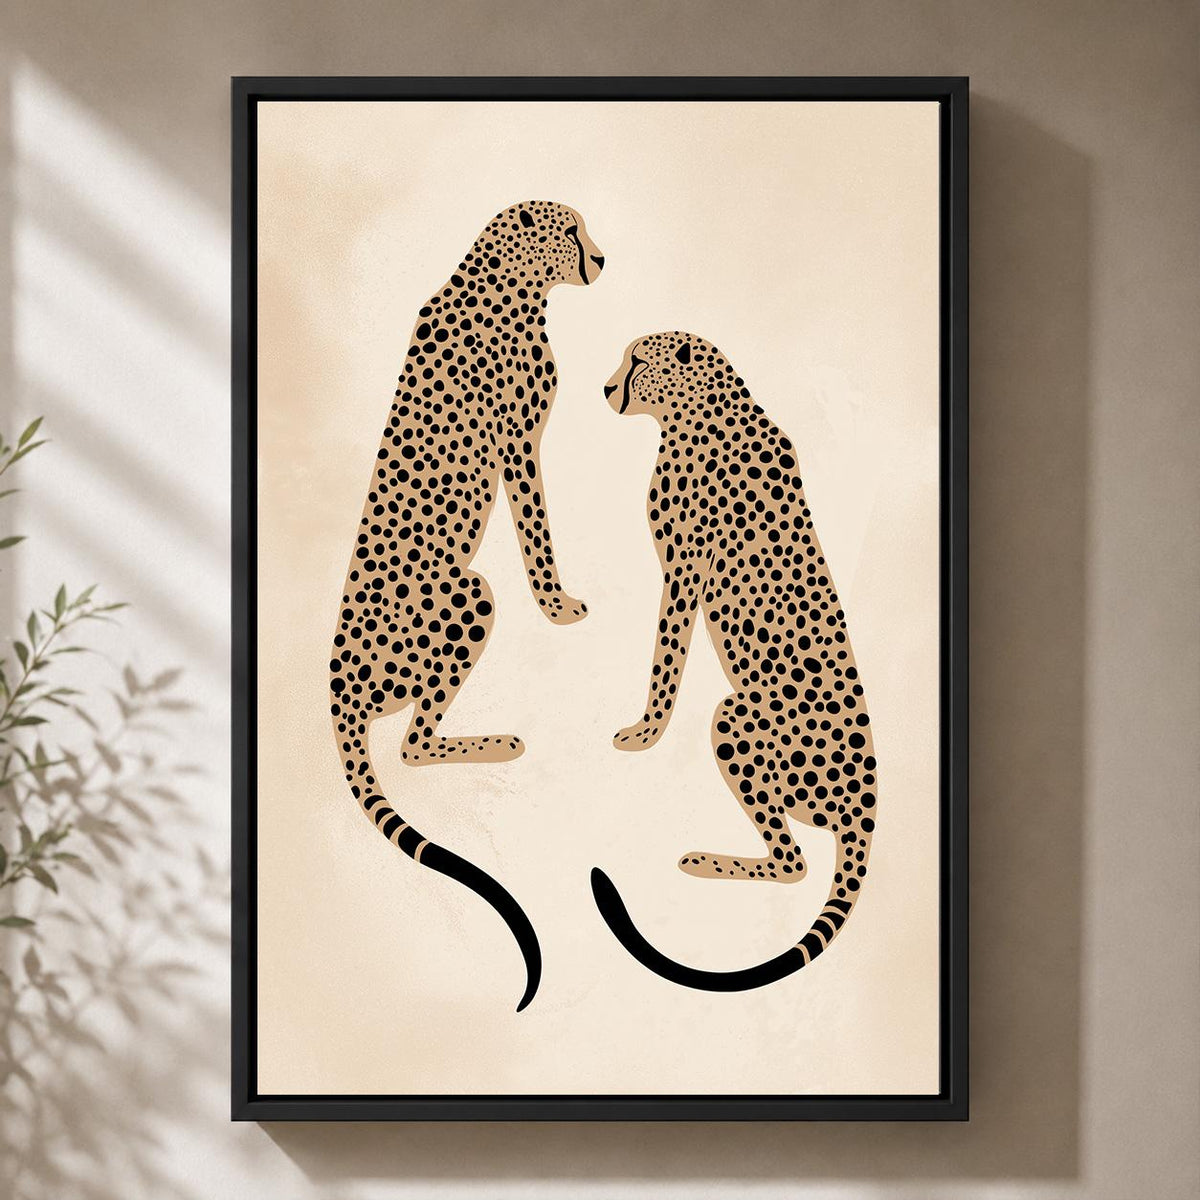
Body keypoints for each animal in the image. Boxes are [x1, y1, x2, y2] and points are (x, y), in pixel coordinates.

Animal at [329, 201, 604, 1012]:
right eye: (571, 232)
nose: (601, 260)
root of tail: (338, 692)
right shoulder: (518, 444)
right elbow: (538, 531)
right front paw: (557, 604)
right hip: (469, 592)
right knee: (413, 745)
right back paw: (497, 743)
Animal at [590, 331, 878, 993]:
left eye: (637, 362)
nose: (606, 388)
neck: (700, 413)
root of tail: (864, 807)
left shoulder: (683, 569)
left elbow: (665, 655)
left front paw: (646, 732)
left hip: (736, 720)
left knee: (794, 863)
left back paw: (703, 860)